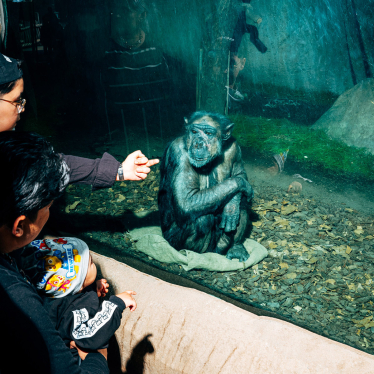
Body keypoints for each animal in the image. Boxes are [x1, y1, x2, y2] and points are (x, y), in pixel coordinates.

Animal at [158, 111, 254, 262]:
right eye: (194, 131)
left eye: (208, 133)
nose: (198, 143)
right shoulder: (179, 153)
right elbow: (186, 201)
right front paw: (241, 184)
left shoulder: (235, 148)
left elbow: (240, 173)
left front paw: (231, 206)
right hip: (172, 241)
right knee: (201, 218)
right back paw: (194, 255)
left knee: (243, 206)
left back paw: (235, 247)